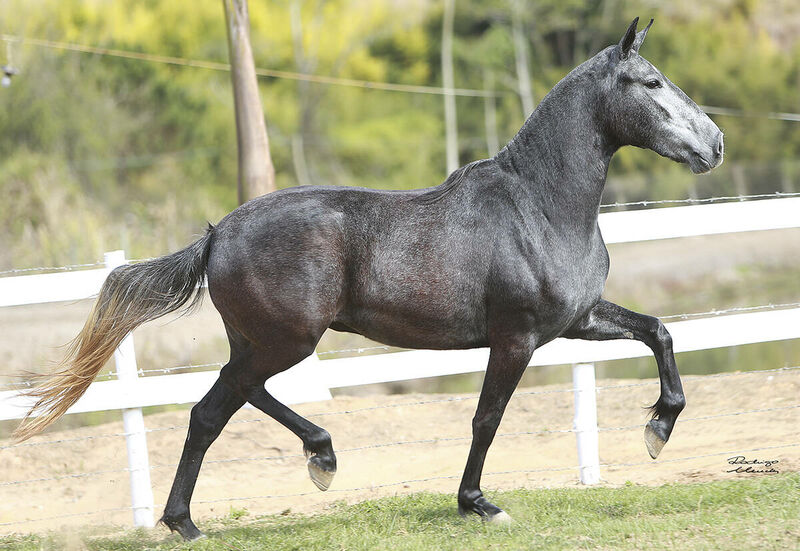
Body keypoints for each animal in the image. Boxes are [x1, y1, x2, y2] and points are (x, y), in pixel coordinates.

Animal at [15, 18, 720, 540]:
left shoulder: (575, 321)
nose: (715, 144)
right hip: (286, 341)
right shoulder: (516, 338)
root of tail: (218, 233)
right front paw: (477, 503)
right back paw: (201, 515)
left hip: (266, 342)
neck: (539, 207)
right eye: (652, 82)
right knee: (213, 408)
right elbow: (487, 417)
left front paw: (659, 429)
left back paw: (303, 464)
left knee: (233, 398)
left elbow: (658, 332)